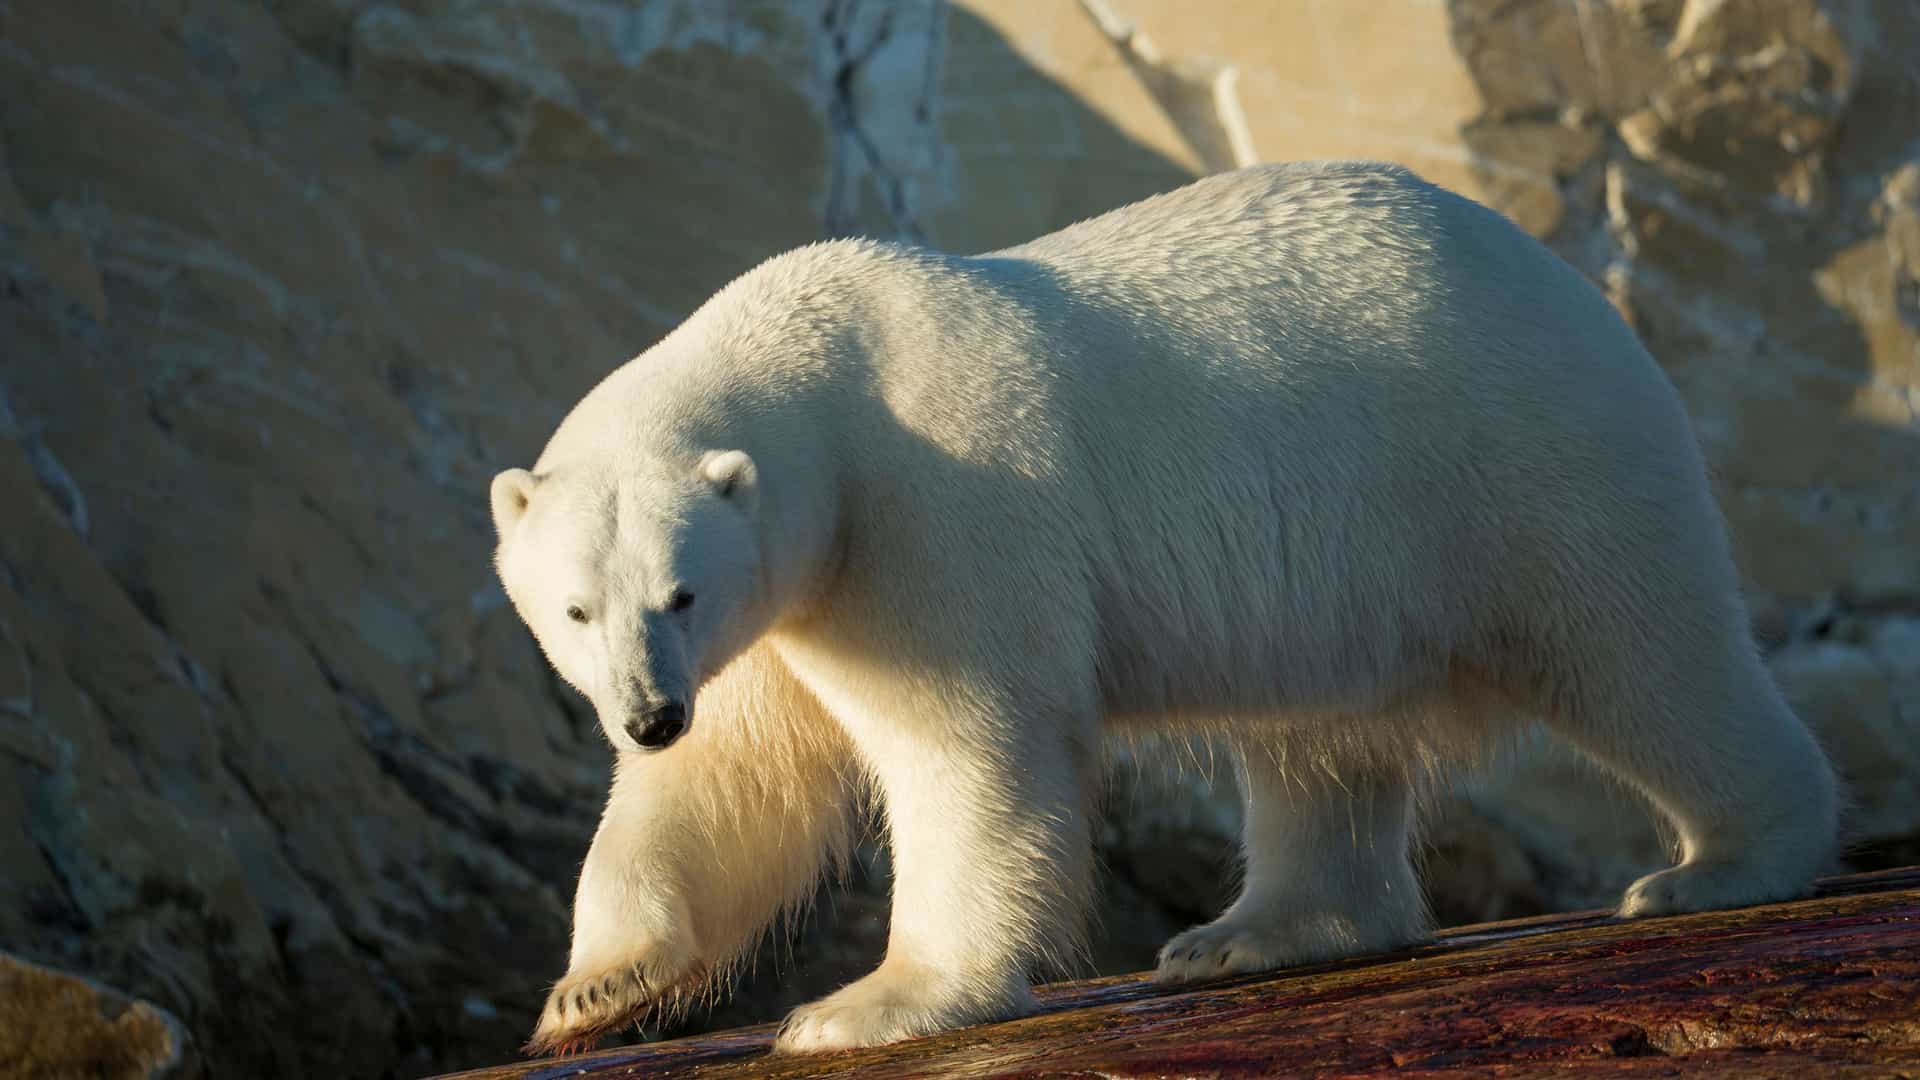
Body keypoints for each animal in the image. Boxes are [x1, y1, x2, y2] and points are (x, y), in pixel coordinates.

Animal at [489, 161, 1839, 1056]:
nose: (645, 713)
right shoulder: (793, 597)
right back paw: (1256, 930)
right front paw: (592, 991)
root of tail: (1566, 280)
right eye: (575, 609)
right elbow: (729, 781)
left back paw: (1723, 865)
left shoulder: (932, 511)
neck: (829, 373)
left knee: (1639, 649)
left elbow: (967, 744)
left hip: (1520, 462)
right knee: (1321, 738)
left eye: (679, 588)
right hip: (1358, 559)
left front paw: (872, 1002)